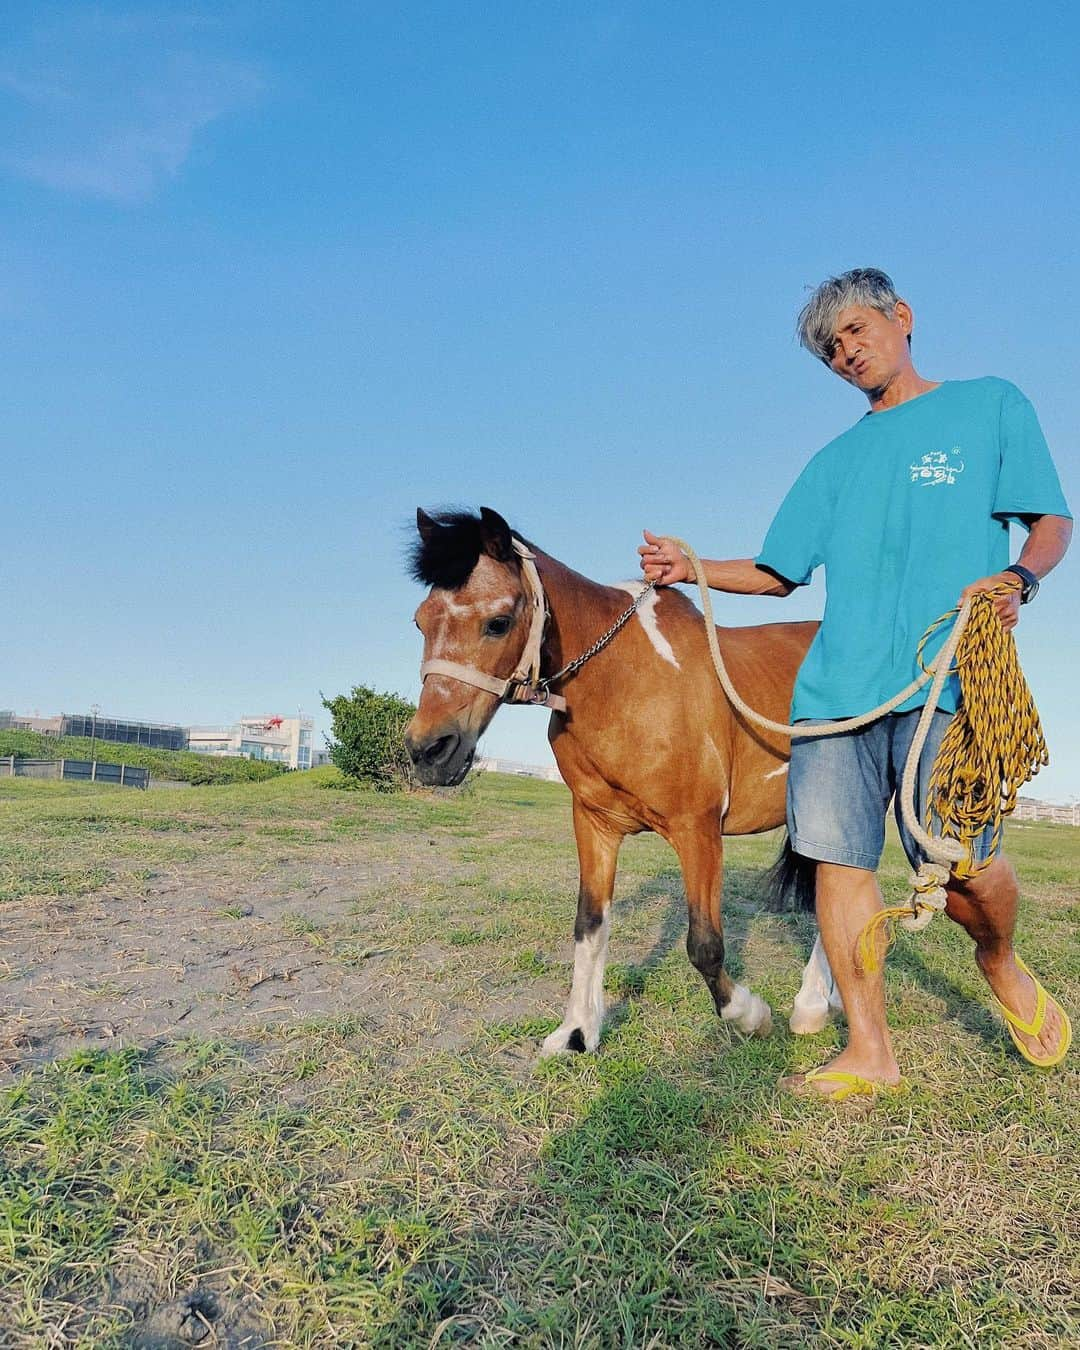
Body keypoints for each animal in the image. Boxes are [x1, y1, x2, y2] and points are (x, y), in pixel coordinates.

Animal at [405, 507, 842, 1053]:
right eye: (420, 621)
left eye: (498, 622)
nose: (428, 750)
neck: (624, 681)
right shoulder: (595, 825)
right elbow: (590, 926)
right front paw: (577, 1031)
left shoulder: (698, 829)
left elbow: (704, 945)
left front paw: (750, 1015)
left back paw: (811, 1007)